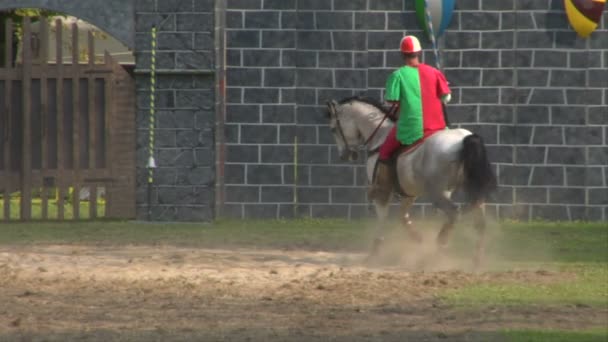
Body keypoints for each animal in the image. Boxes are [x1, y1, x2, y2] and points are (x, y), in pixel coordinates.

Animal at [326, 97, 496, 268]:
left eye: (333, 129)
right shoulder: (410, 193)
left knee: (454, 213)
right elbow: (402, 216)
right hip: (470, 190)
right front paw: (417, 237)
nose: (345, 155)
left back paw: (437, 250)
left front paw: (374, 253)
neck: (380, 135)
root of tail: (462, 140)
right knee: (480, 222)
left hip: (437, 193)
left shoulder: (382, 192)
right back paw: (476, 260)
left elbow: (383, 217)